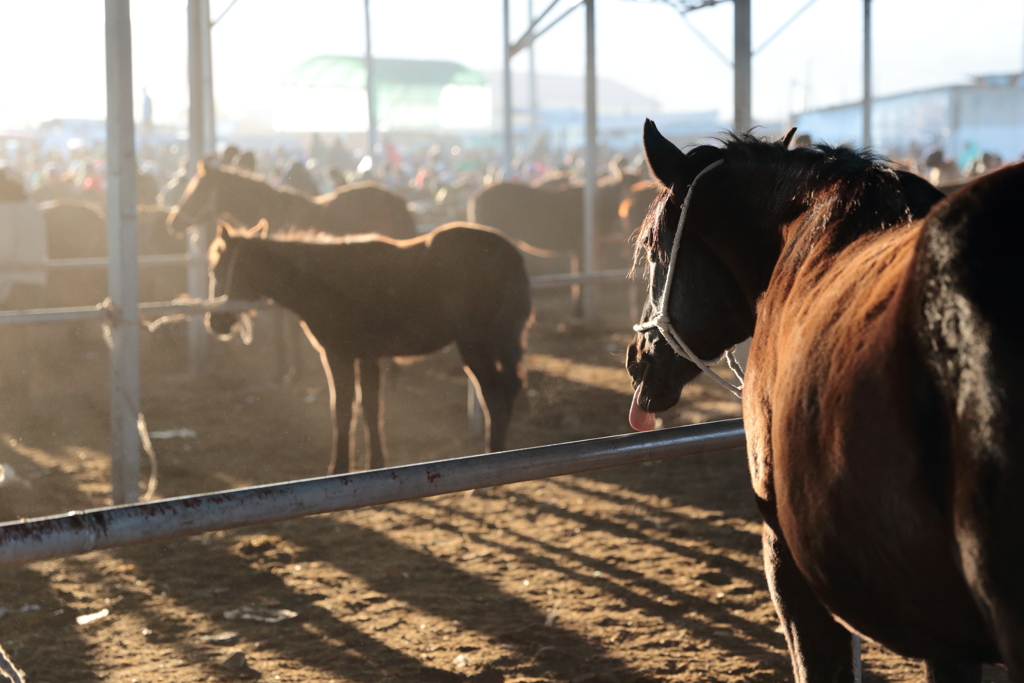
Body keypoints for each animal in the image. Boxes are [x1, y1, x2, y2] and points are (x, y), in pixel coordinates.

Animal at [204, 220, 532, 475]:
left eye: (219, 270)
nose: (214, 322)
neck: (327, 281)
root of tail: (511, 255)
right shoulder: (368, 356)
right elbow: (371, 409)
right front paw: (375, 463)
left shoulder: (338, 355)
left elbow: (343, 409)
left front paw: (338, 468)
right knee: (507, 388)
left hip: (475, 345)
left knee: (492, 393)